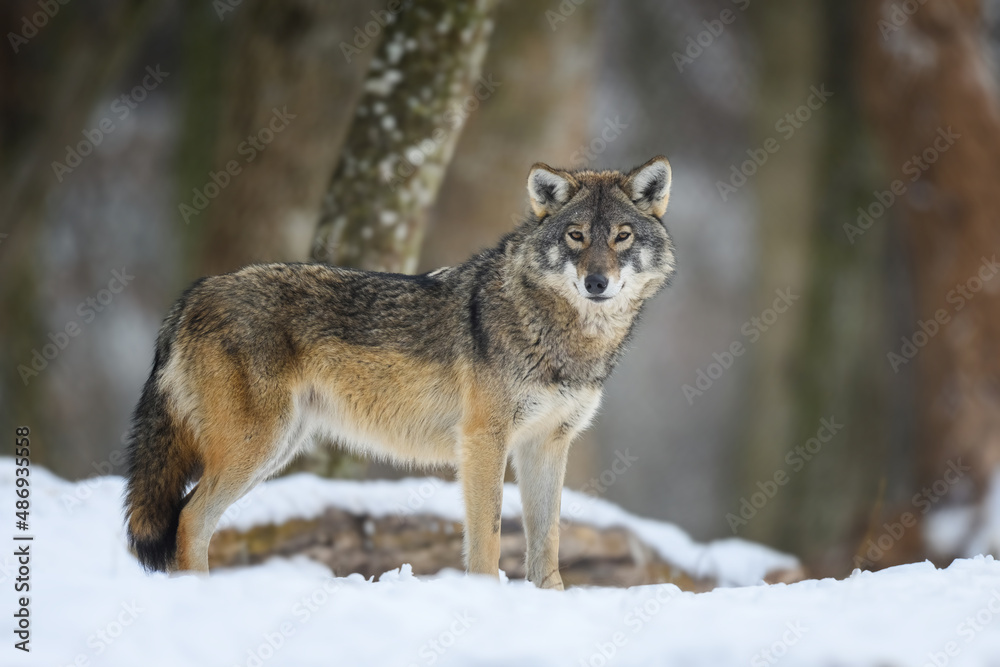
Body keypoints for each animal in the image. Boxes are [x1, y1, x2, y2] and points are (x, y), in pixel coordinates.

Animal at [123, 156, 676, 589]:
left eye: (621, 237)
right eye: (576, 236)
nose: (597, 281)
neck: (562, 335)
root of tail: (195, 292)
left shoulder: (547, 444)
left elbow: (548, 544)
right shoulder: (484, 440)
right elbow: (489, 539)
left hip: (274, 450)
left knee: (191, 520)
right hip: (256, 446)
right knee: (188, 519)